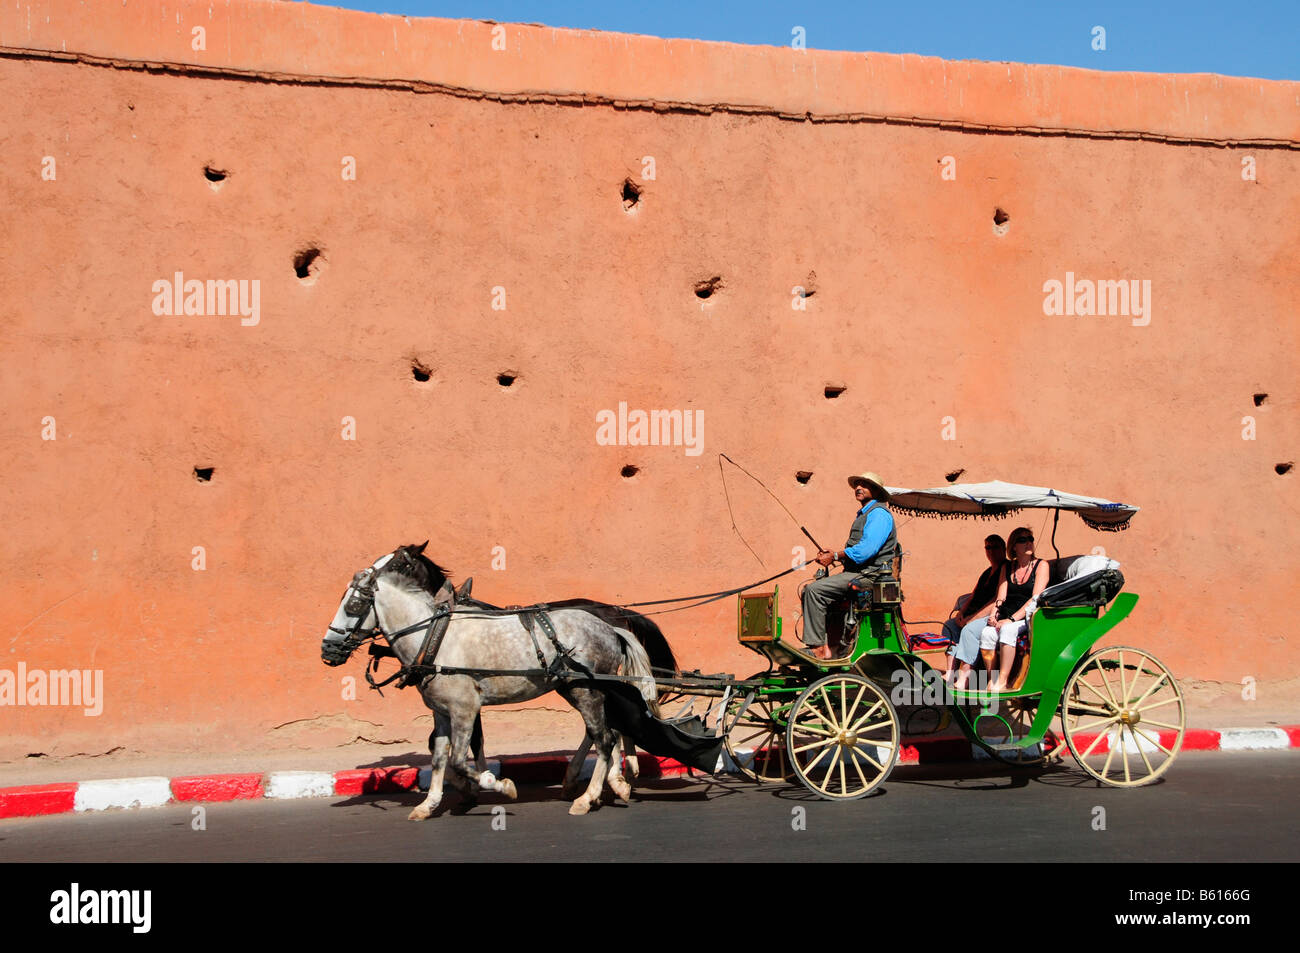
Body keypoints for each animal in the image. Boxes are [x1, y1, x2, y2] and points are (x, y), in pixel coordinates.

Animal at [321, 546, 655, 816]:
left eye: (352, 606)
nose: (327, 649)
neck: (433, 635)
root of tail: (611, 627)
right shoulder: (442, 711)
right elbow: (439, 756)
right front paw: (429, 804)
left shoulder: (465, 707)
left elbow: (460, 757)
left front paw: (497, 784)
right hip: (578, 688)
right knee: (605, 732)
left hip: (585, 689)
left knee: (604, 738)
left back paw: (589, 796)